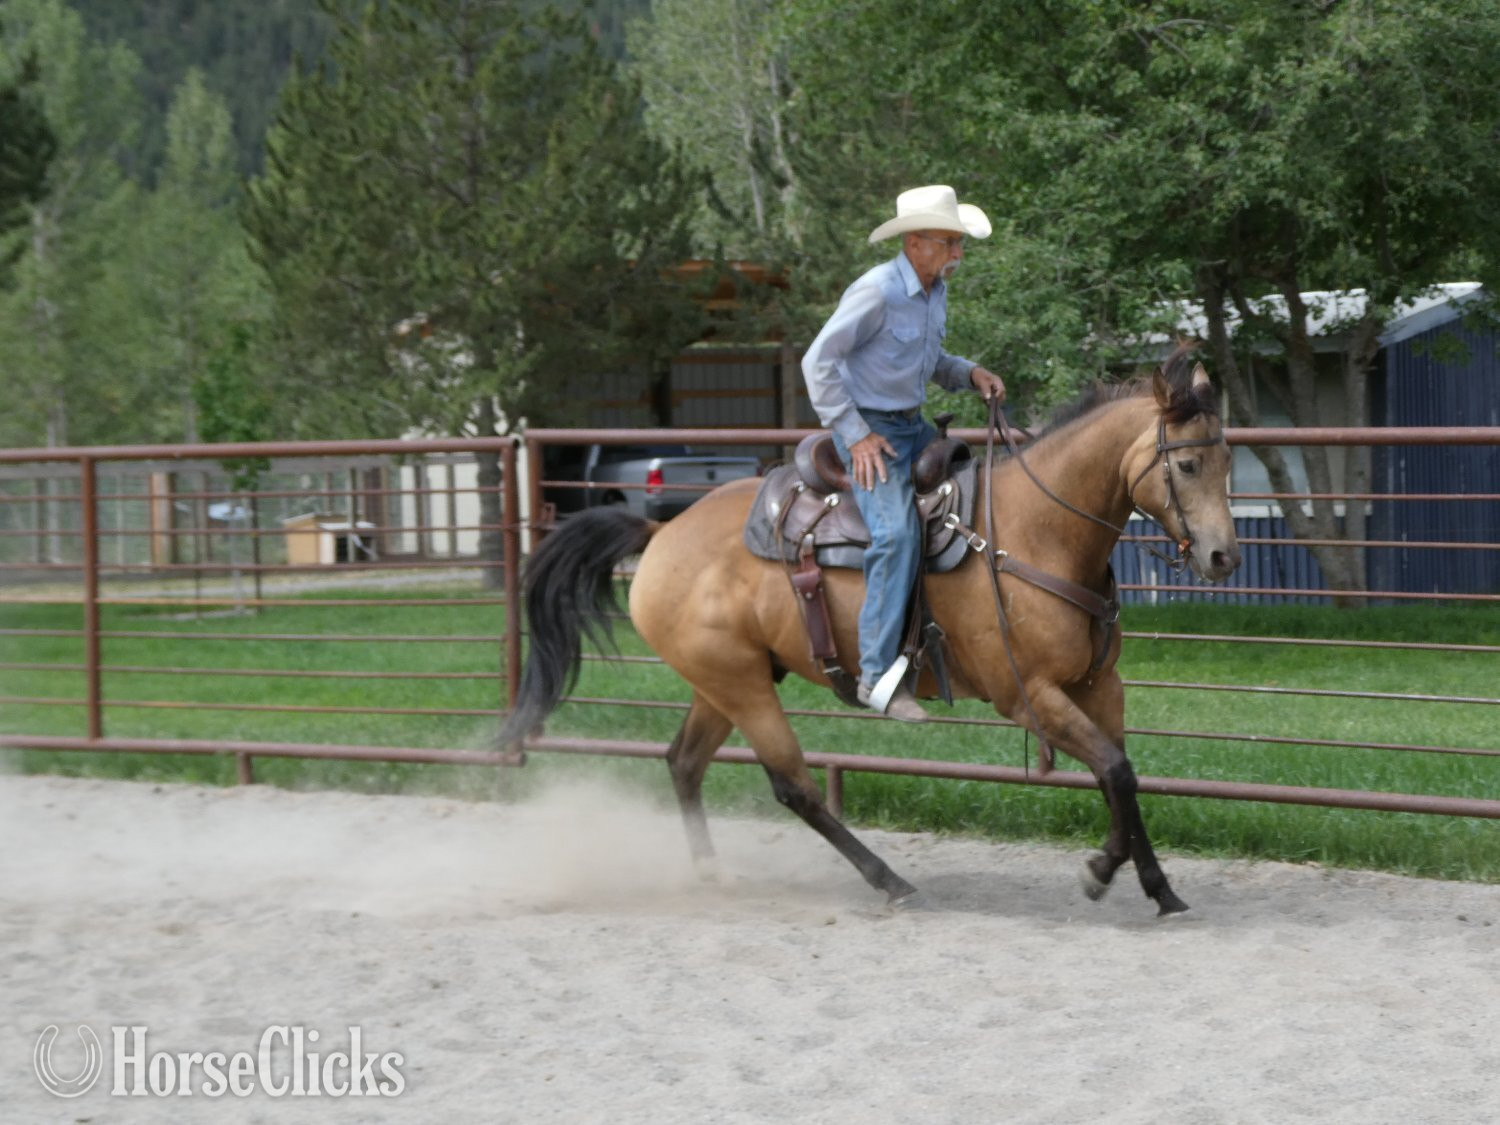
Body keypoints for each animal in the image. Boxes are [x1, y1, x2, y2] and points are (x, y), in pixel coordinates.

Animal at [501, 350, 1241, 916]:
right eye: (1186, 465)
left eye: (1228, 461)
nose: (1222, 557)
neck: (1034, 531)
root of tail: (659, 532)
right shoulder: (1030, 694)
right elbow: (1114, 770)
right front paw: (1113, 875)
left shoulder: (1099, 686)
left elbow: (1123, 777)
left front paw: (1144, 882)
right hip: (741, 686)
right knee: (793, 785)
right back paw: (889, 879)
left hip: (723, 680)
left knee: (684, 762)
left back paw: (713, 873)